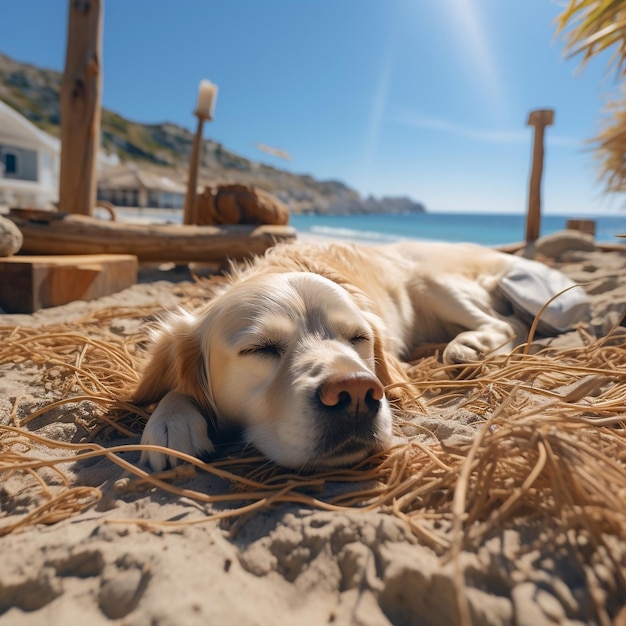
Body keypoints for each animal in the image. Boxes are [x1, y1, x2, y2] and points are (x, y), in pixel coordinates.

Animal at [132, 239, 584, 468]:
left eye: (358, 338)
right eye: (260, 349)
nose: (354, 394)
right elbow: (176, 388)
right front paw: (171, 420)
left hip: (430, 281)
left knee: (505, 325)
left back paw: (467, 347)